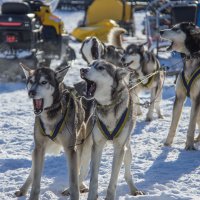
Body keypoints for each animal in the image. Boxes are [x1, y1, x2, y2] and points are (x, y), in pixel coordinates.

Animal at [15, 63, 87, 198]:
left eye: (44, 82)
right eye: (31, 81)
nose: (31, 92)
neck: (51, 113)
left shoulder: (71, 149)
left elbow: (73, 180)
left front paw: (74, 193)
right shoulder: (39, 148)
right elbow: (36, 181)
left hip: (83, 145)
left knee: (81, 168)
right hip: (40, 149)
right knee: (33, 169)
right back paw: (23, 189)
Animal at [79, 59, 144, 200]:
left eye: (100, 68)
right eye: (90, 64)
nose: (82, 69)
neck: (108, 106)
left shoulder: (120, 148)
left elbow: (114, 179)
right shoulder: (97, 146)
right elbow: (93, 179)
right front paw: (92, 196)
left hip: (127, 150)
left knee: (127, 173)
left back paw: (134, 189)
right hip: (86, 149)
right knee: (82, 171)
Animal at [160, 22, 200, 150]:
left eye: (176, 29)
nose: (161, 31)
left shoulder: (197, 99)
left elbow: (191, 125)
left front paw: (189, 145)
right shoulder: (179, 97)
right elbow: (173, 124)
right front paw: (167, 143)